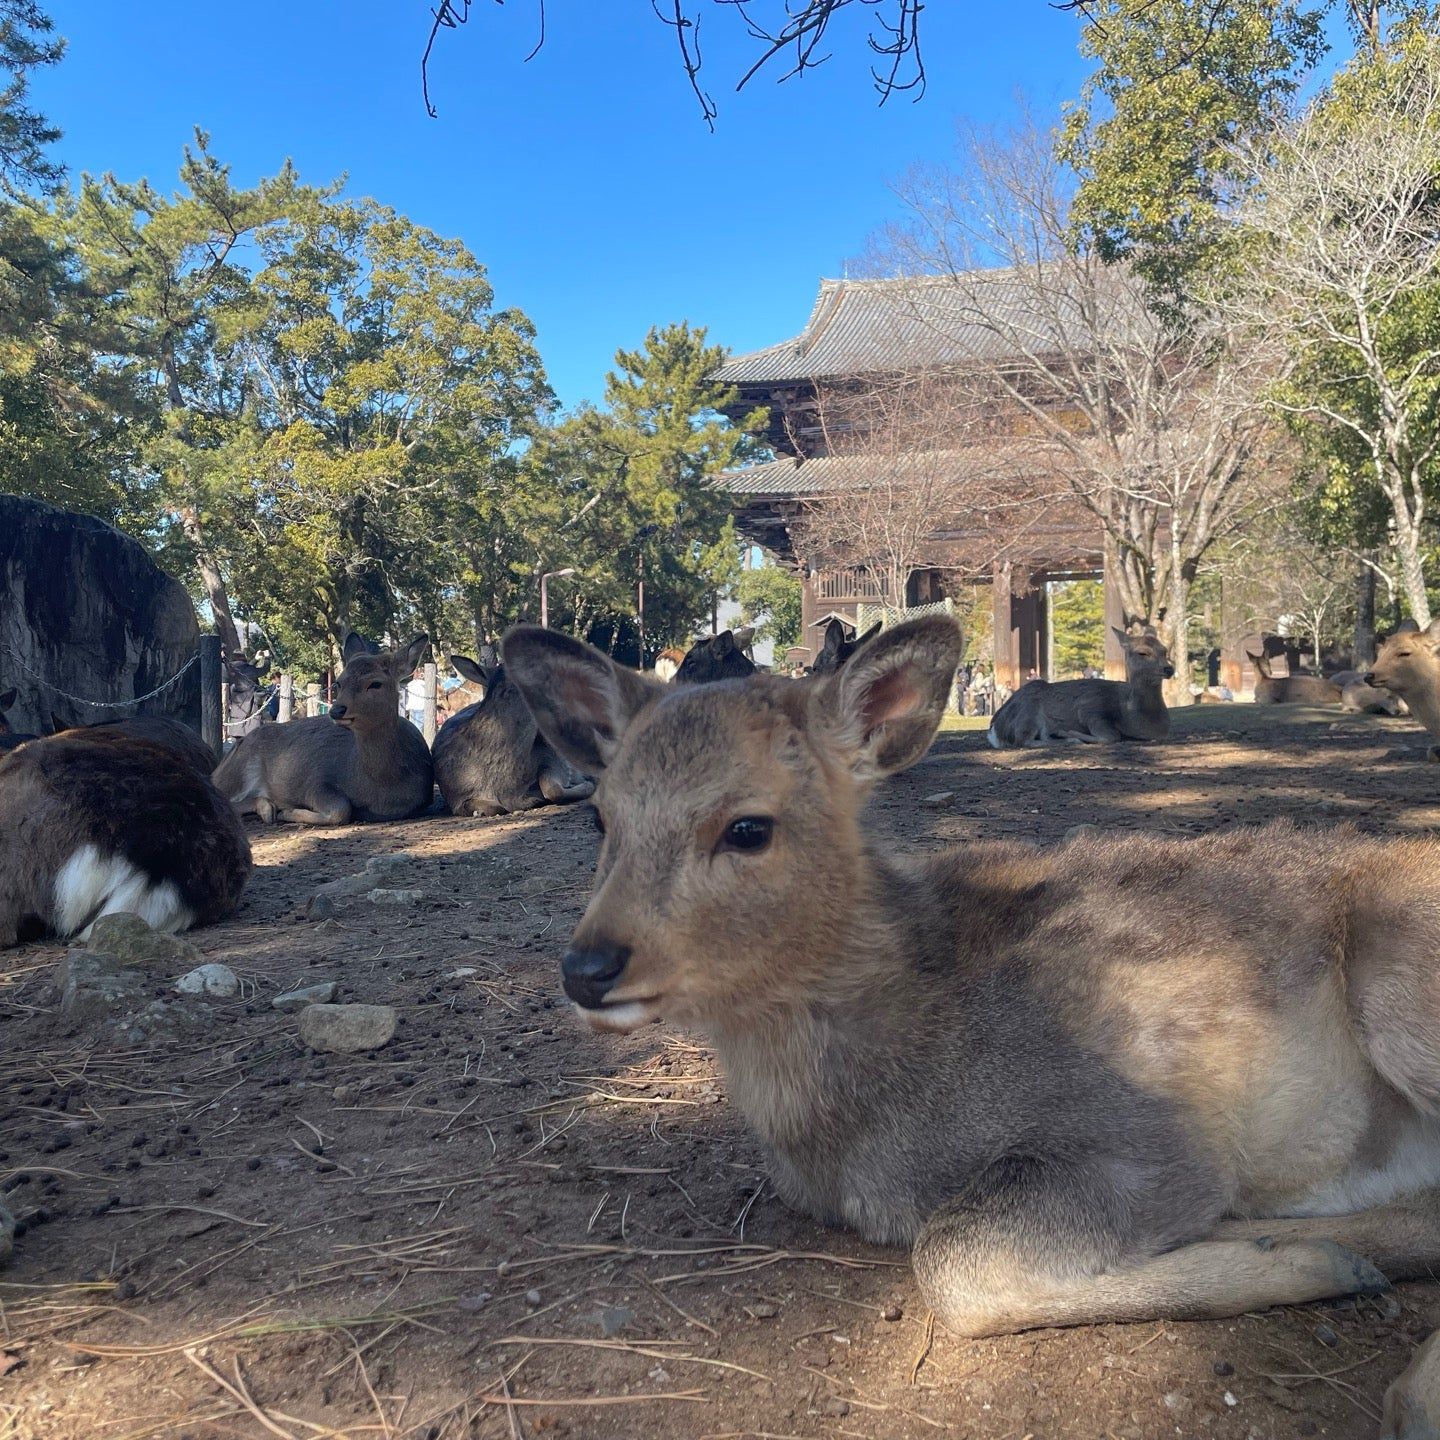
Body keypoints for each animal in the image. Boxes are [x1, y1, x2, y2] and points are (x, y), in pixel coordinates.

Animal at [210, 636, 429, 829]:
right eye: (339, 682)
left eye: (375, 683)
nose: (336, 710)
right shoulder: (315, 781)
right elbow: (341, 808)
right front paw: (287, 812)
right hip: (236, 771)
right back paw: (269, 809)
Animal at [984, 624, 1175, 748]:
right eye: (1142, 652)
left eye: (1164, 650)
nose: (1169, 668)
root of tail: (994, 728)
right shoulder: (1089, 708)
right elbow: (1111, 736)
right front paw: (1069, 733)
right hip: (1028, 712)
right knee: (1024, 740)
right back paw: (1068, 738)